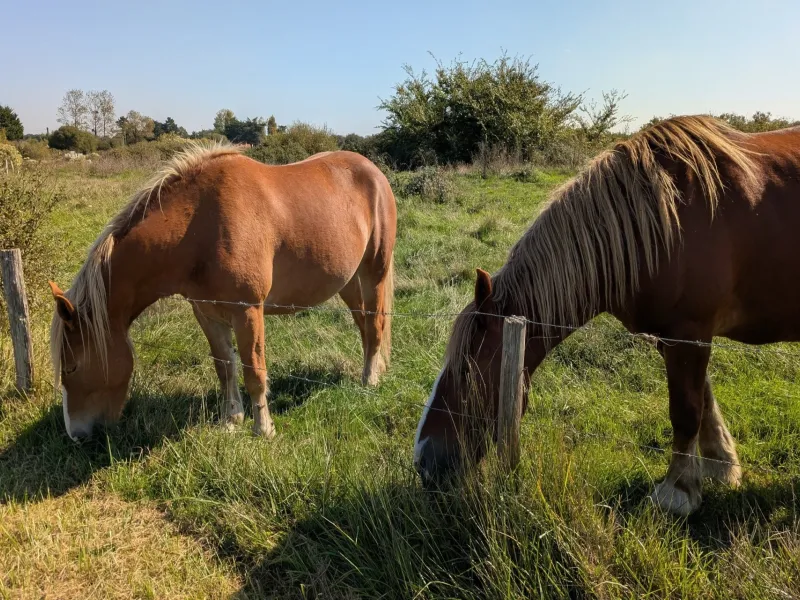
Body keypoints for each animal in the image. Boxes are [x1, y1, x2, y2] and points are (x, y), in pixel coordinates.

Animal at [49, 144, 396, 441]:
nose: (75, 434)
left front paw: (263, 428)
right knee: (364, 325)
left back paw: (370, 380)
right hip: (347, 281)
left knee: (375, 323)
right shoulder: (206, 313)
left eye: (71, 367)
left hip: (374, 273)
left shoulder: (248, 311)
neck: (198, 226)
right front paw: (231, 420)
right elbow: (225, 366)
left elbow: (254, 371)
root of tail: (373, 172)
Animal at [414, 115, 800, 515]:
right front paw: (719, 467)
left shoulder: (689, 332)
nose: (422, 461)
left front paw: (676, 492)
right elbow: (703, 400)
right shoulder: (677, 338)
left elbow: (685, 410)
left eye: (465, 370)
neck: (660, 223)